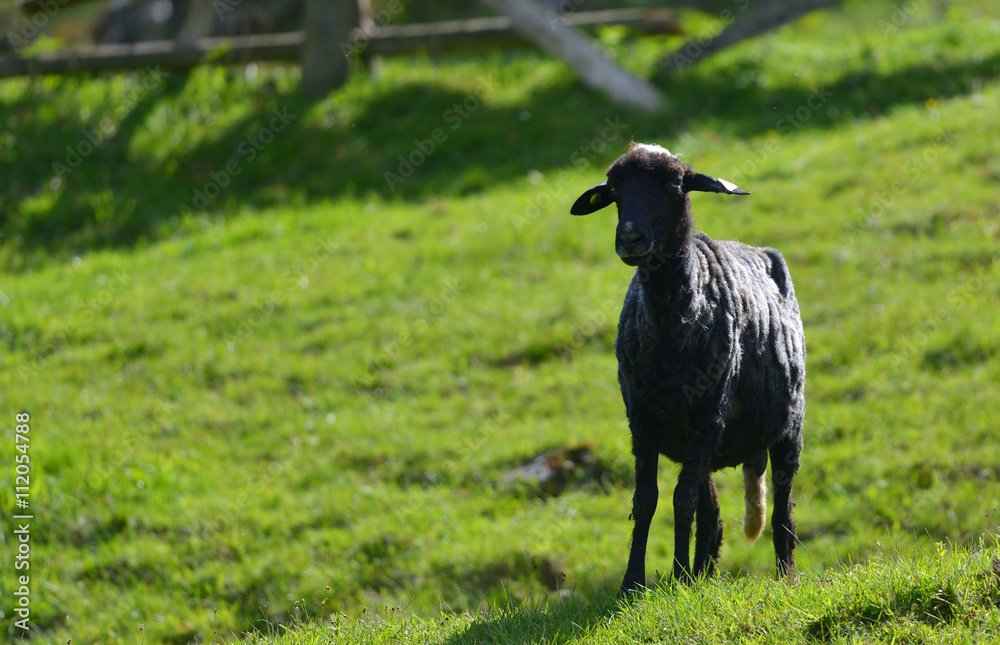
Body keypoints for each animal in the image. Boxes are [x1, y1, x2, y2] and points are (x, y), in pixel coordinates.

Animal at [570, 142, 806, 595]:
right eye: (613, 190)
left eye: (675, 184)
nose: (630, 238)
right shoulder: (641, 416)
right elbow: (647, 498)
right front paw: (633, 584)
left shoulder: (708, 412)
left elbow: (682, 500)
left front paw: (677, 577)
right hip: (702, 444)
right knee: (712, 517)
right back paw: (703, 577)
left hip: (787, 428)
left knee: (782, 512)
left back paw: (784, 578)